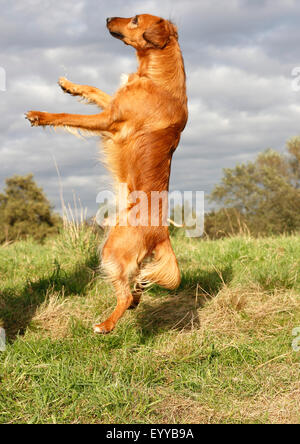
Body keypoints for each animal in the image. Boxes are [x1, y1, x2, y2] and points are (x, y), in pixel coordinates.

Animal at [27, 13, 189, 332]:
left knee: (124, 295)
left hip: (111, 249)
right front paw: (69, 85)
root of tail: (161, 233)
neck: (157, 77)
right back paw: (135, 300)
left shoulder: (109, 119)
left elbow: (68, 116)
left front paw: (41, 115)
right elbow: (93, 89)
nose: (106, 17)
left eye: (135, 19)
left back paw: (105, 325)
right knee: (136, 285)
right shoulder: (111, 104)